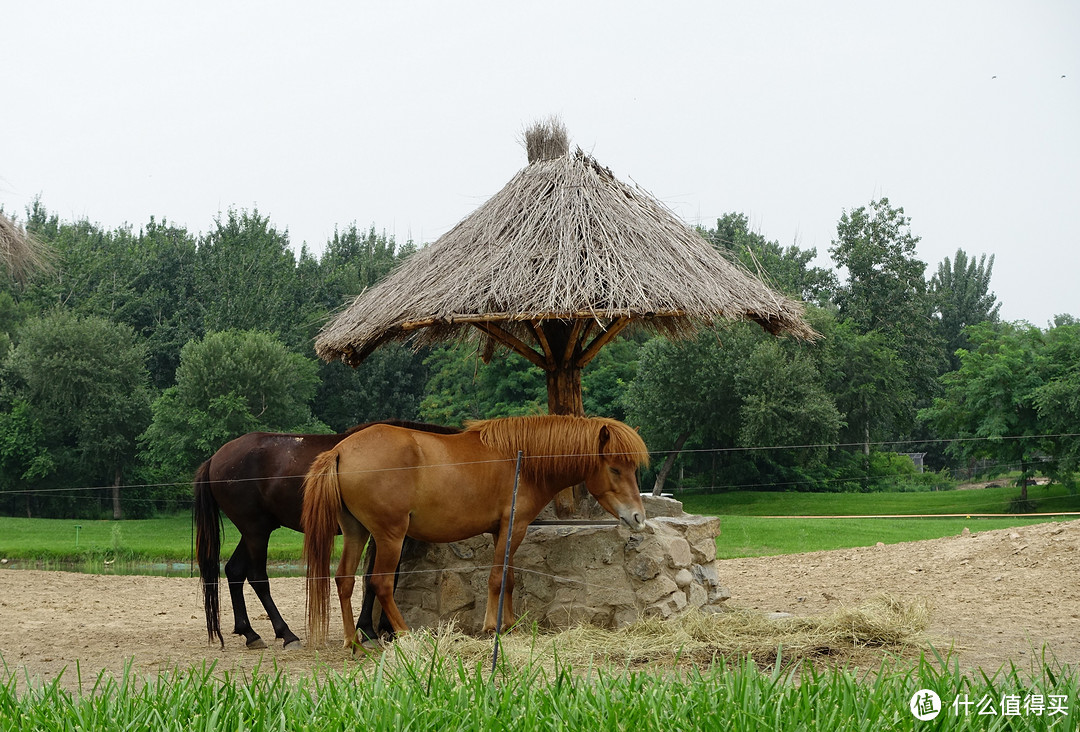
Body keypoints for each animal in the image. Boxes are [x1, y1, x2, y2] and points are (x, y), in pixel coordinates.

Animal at [194, 421, 455, 652]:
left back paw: (249, 633)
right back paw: (287, 635)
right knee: (258, 578)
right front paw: (372, 631)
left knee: (234, 571)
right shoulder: (385, 532)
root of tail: (214, 459)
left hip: (255, 531)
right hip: (255, 531)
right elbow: (378, 577)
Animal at [300, 416, 643, 652]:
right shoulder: (514, 527)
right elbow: (496, 578)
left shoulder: (504, 532)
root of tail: (340, 450)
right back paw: (406, 633)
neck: (522, 461)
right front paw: (492, 627)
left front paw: (510, 625)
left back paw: (353, 642)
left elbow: (509, 578)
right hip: (389, 536)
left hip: (356, 533)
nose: (638, 517)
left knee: (344, 580)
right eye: (615, 468)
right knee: (381, 583)